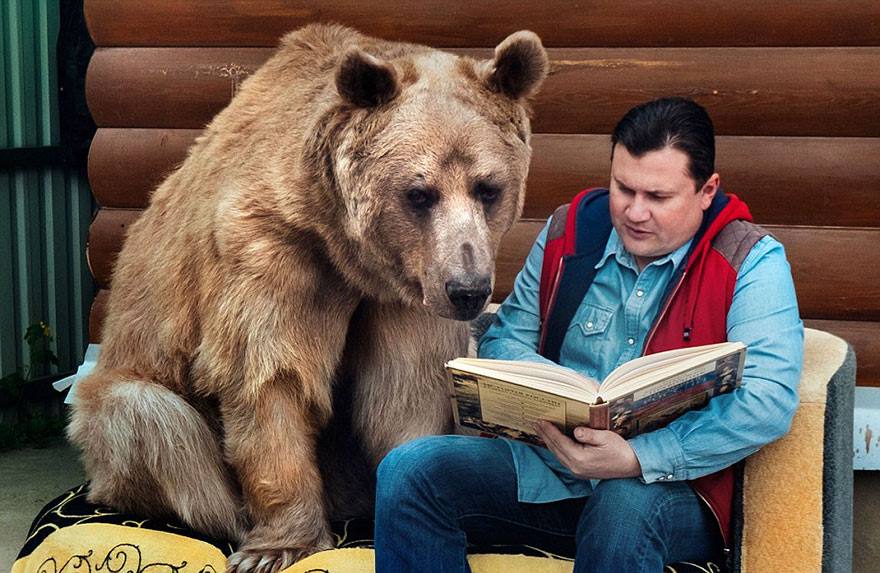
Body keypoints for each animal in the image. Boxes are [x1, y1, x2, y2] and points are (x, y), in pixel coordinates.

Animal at [68, 24, 548, 573]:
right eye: (419, 192)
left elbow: (404, 387)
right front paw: (277, 545)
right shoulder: (269, 250)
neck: (344, 248)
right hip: (128, 393)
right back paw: (234, 519)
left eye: (488, 188)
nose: (467, 290)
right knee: (152, 422)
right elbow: (268, 374)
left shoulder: (407, 294)